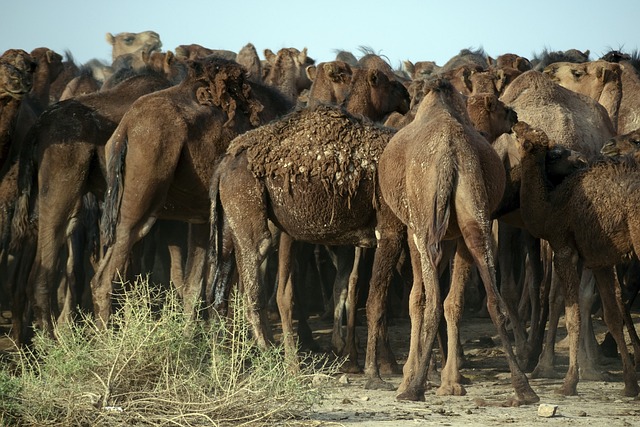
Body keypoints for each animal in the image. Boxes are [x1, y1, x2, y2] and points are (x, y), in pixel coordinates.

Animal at [378, 77, 536, 404]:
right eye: (499, 106)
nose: (514, 113)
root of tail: (450, 155)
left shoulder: (414, 229)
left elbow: (418, 298)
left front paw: (413, 374)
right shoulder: (454, 235)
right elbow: (452, 300)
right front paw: (447, 378)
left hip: (426, 223)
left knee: (432, 301)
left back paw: (413, 388)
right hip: (474, 212)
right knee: (489, 297)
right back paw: (523, 388)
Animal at [516, 121, 640, 398]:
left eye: (554, 154)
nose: (518, 123)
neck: (551, 208)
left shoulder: (563, 249)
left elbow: (572, 315)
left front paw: (569, 382)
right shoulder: (600, 260)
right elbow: (612, 316)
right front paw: (629, 385)